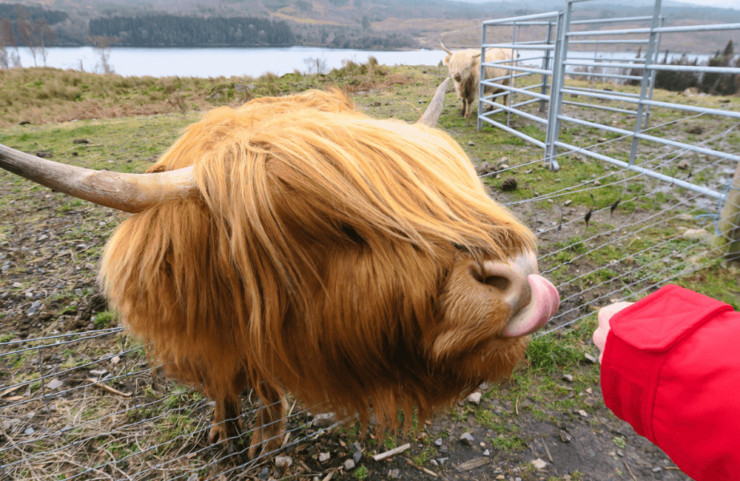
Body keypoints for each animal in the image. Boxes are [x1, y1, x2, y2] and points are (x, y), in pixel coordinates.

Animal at [0, 83, 556, 458]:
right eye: (337, 225)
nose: (519, 273)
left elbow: (268, 395)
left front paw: (265, 444)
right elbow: (224, 388)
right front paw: (224, 432)